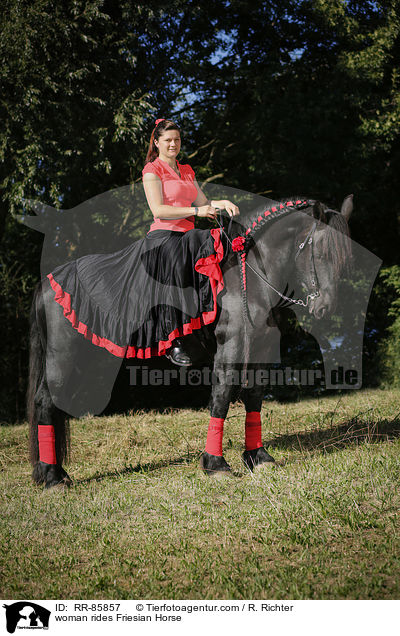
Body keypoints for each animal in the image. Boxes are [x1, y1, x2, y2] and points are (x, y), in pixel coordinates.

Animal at [27, 195, 354, 486]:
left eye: (344, 259)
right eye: (321, 253)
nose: (325, 308)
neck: (250, 275)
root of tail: (48, 284)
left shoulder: (261, 348)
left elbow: (254, 397)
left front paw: (259, 458)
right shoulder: (232, 346)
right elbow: (222, 396)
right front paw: (216, 465)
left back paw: (54, 473)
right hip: (63, 356)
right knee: (45, 402)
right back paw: (52, 478)